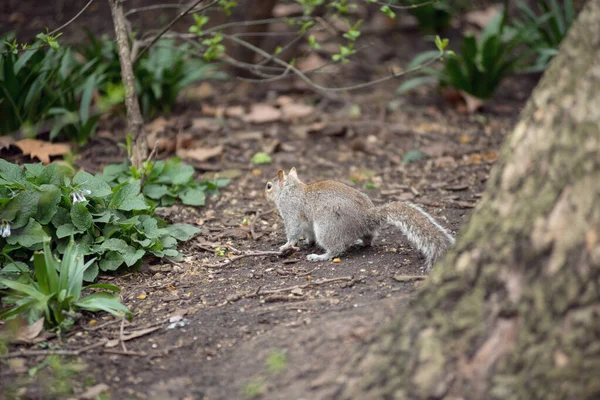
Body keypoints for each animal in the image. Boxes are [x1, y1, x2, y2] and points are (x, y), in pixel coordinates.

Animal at [264, 167, 458, 270]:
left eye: (268, 186)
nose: (264, 194)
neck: (291, 189)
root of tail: (366, 217)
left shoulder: (291, 212)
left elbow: (293, 232)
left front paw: (286, 246)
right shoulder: (306, 224)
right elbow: (308, 234)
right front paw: (307, 242)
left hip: (327, 226)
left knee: (337, 249)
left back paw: (321, 256)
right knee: (368, 239)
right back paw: (358, 242)